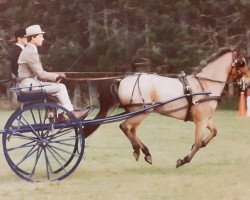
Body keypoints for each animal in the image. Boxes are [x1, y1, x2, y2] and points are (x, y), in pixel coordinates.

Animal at [84, 48, 248, 167]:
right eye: (242, 63)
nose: (247, 84)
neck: (204, 85)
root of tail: (121, 80)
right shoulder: (200, 120)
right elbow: (198, 142)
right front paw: (183, 160)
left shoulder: (204, 119)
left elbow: (213, 133)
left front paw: (199, 146)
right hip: (141, 112)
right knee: (125, 127)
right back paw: (139, 151)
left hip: (136, 113)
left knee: (131, 130)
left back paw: (145, 152)